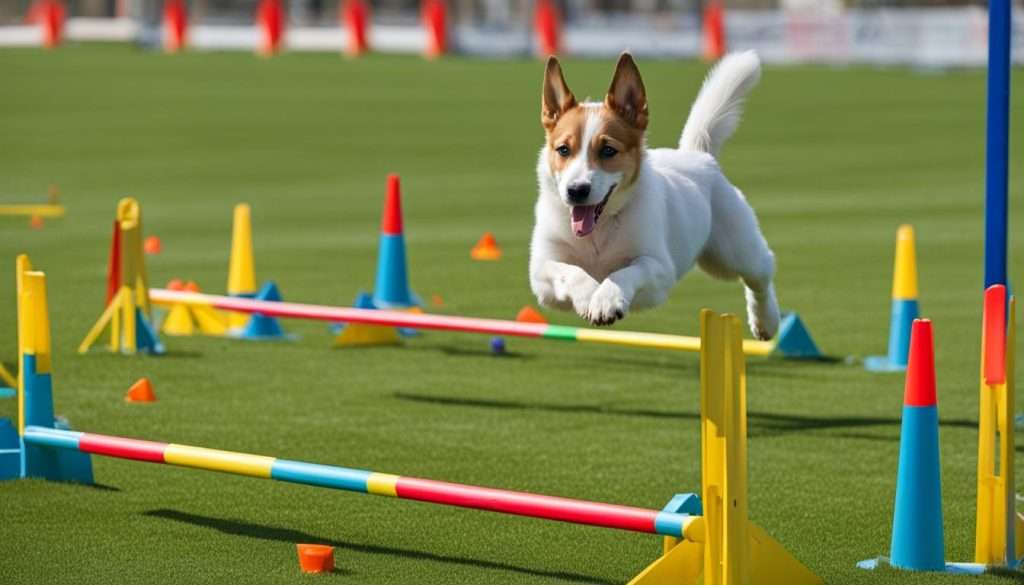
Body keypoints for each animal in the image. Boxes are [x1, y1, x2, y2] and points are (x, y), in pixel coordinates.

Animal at [532, 51, 778, 340]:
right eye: (563, 149)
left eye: (607, 150)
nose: (576, 191)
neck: (599, 231)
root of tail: (698, 154)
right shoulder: (540, 272)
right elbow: (570, 271)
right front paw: (588, 294)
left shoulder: (658, 268)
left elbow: (626, 272)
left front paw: (606, 299)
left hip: (734, 251)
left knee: (761, 273)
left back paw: (766, 320)